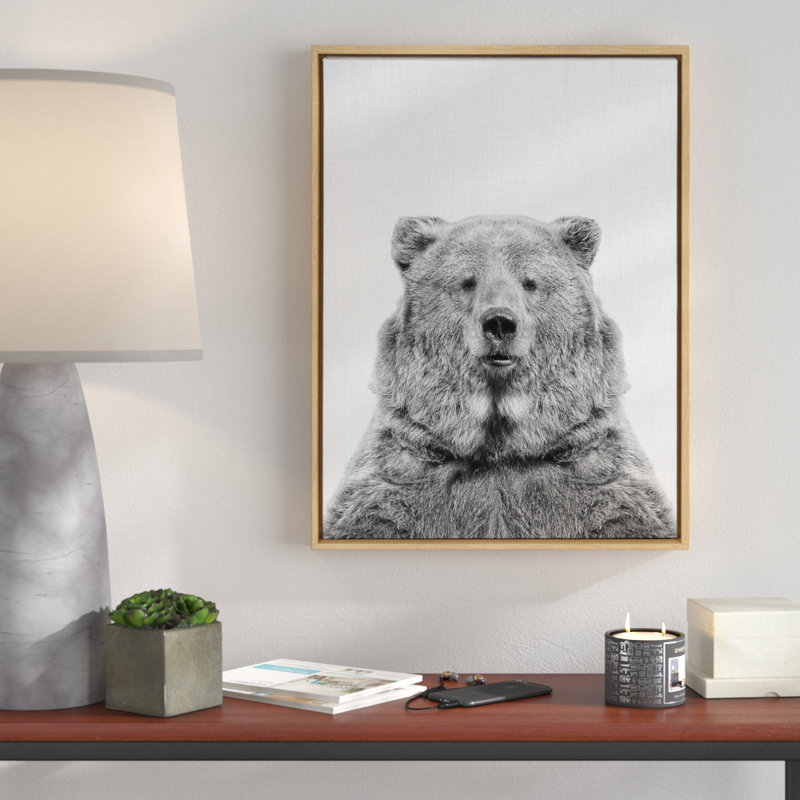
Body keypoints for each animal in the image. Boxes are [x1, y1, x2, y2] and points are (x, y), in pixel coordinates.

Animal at [323, 214, 675, 539]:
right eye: (468, 281)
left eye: (529, 282)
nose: (500, 323)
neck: (499, 447)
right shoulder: (402, 472)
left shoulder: (595, 469)